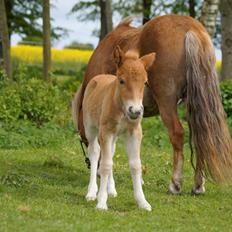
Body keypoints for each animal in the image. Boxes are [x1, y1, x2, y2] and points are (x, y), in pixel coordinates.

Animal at [82, 46, 155, 210]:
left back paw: (111, 190)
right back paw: (92, 192)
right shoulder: (106, 132)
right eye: (121, 81)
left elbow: (135, 165)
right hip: (91, 129)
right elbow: (105, 165)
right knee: (95, 152)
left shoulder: (134, 133)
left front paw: (143, 202)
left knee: (110, 153)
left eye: (145, 82)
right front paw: (101, 203)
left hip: (114, 136)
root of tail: (100, 76)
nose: (135, 111)